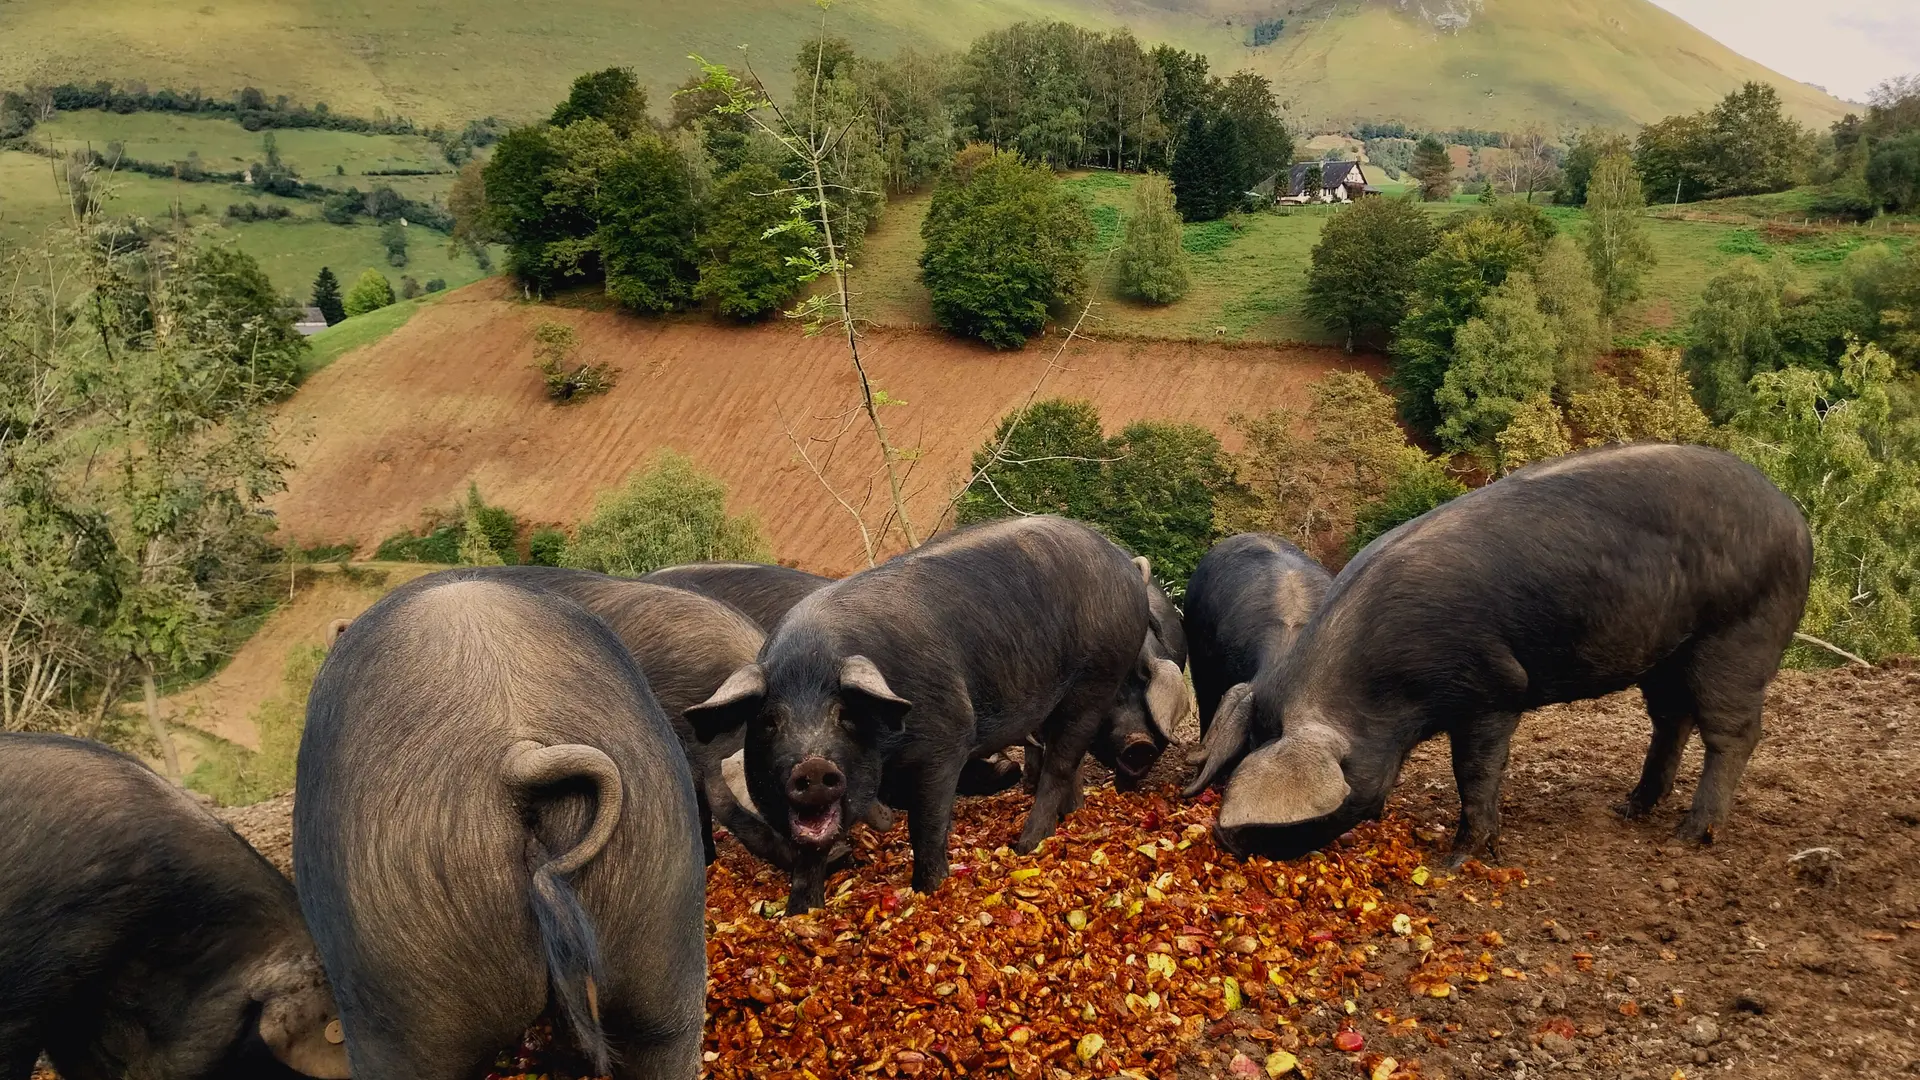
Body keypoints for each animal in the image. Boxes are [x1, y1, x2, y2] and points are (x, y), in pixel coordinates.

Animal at [691, 511, 1167, 907]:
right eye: (769, 722)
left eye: (845, 717)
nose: (812, 766)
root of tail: (1125, 565)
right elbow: (810, 854)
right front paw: (800, 912)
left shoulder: (948, 736)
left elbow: (927, 823)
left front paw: (929, 890)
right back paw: (1068, 814)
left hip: (1096, 678)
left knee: (1061, 762)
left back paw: (1024, 845)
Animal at [1213, 445, 1812, 864]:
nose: (1225, 843)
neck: (1381, 688)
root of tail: (1795, 519)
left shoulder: (1492, 688)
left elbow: (1475, 770)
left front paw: (1458, 860)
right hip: (1666, 651)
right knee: (1672, 718)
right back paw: (1628, 809)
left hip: (1740, 633)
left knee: (1733, 732)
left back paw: (1690, 835)